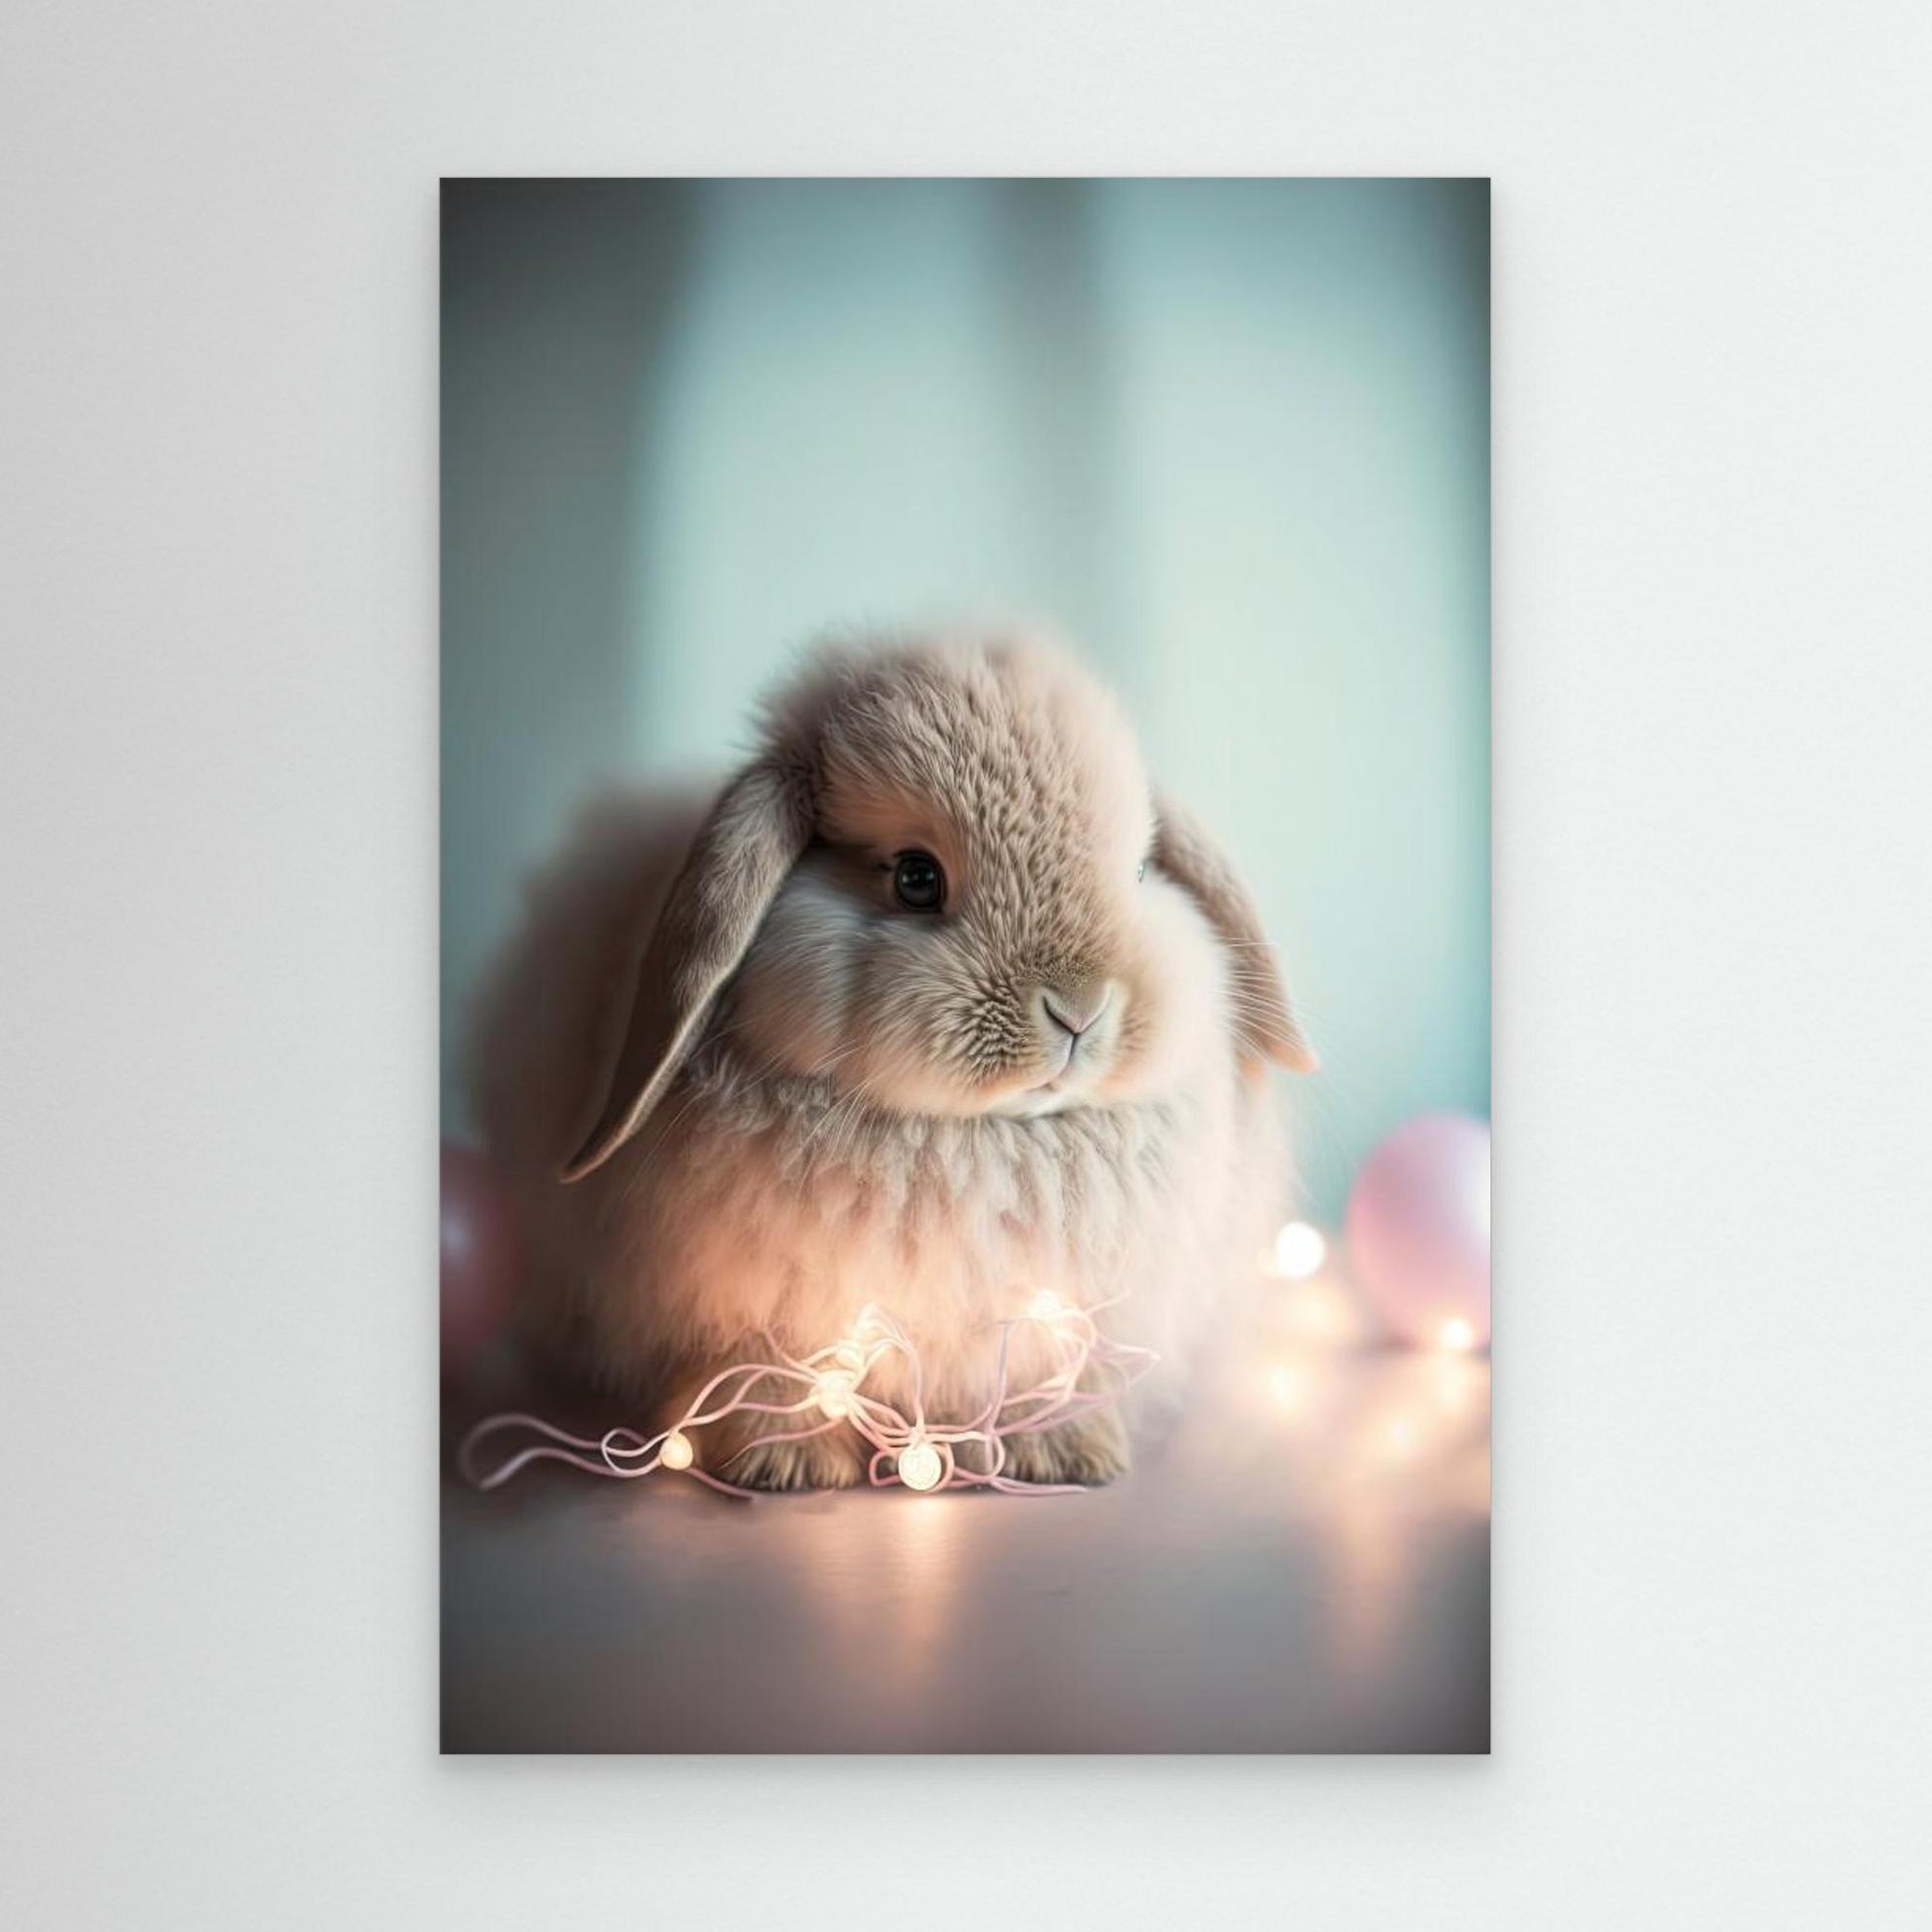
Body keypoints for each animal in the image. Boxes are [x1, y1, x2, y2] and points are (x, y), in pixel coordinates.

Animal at [466, 626, 1315, 1490]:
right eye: (915, 877)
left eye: (1140, 871)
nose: (1079, 1009)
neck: (974, 1139)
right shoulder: (752, 1311)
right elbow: (770, 1370)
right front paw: (785, 1464)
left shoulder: (1045, 1314)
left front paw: (1062, 1452)